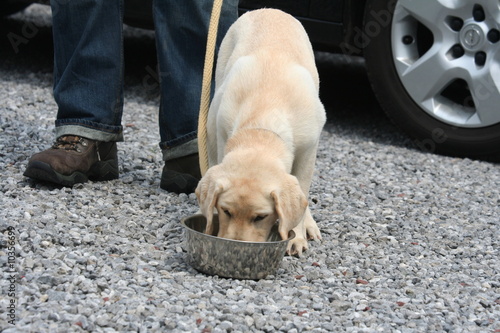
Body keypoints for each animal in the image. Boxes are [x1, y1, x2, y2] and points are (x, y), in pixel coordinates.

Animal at [193, 9, 326, 255]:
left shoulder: (308, 150)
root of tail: (269, 9)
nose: (236, 247)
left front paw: (296, 237)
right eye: (226, 211)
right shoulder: (221, 132)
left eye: (260, 217)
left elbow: (302, 192)